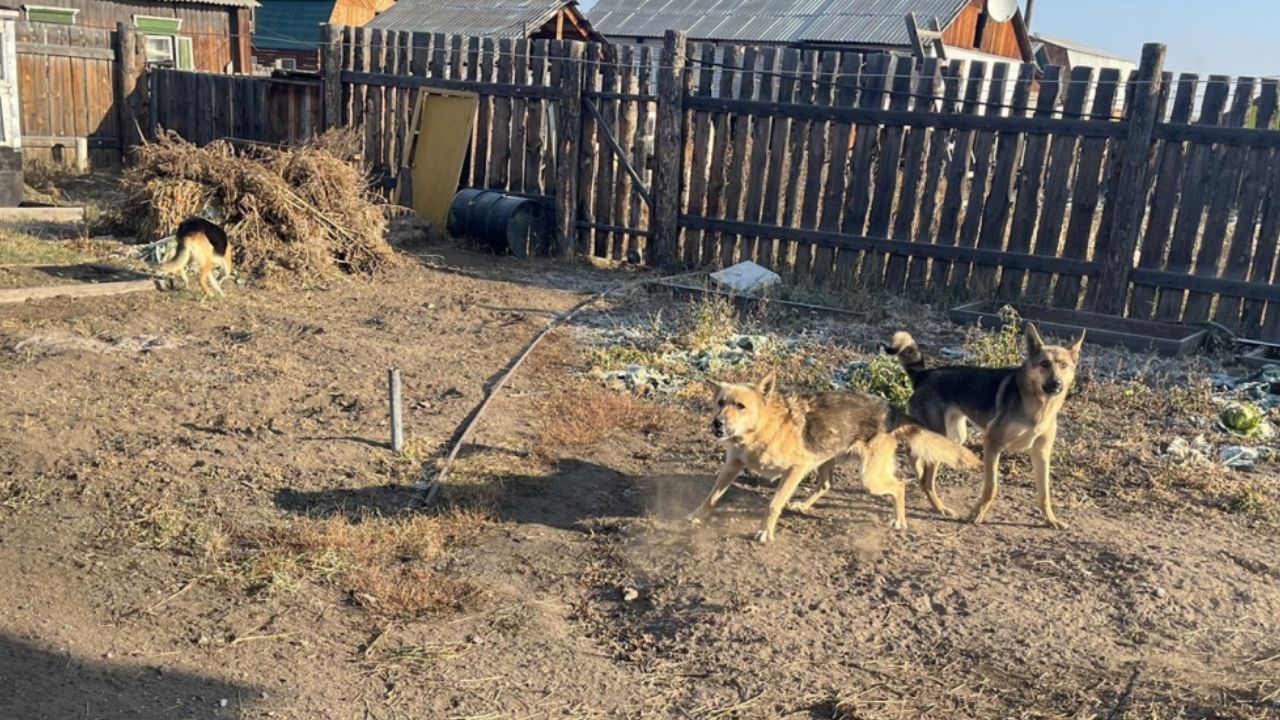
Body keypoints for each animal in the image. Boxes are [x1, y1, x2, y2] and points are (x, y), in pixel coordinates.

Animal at [691, 371, 977, 540]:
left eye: (740, 406)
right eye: (720, 403)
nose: (717, 424)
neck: (761, 430)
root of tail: (893, 411)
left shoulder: (796, 468)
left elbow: (774, 504)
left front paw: (764, 532)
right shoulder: (732, 465)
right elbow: (712, 496)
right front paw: (696, 516)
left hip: (869, 477)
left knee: (899, 486)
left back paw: (899, 520)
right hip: (825, 460)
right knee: (827, 484)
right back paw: (804, 505)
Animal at [885, 325, 1085, 527]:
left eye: (1064, 365)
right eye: (1044, 364)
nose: (1056, 384)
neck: (1040, 405)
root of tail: (924, 375)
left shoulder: (1041, 453)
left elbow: (1044, 493)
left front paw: (1051, 520)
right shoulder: (992, 443)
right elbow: (992, 487)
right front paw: (977, 514)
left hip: (954, 436)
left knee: (915, 455)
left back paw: (921, 478)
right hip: (942, 437)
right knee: (926, 478)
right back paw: (939, 506)